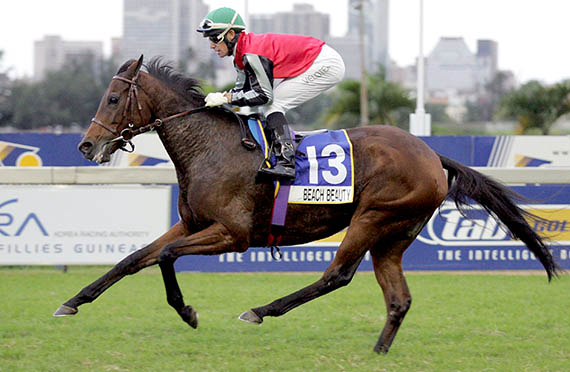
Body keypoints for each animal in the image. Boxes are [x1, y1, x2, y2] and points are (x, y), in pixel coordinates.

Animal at [53, 56, 560, 354]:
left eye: (113, 97)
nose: (85, 146)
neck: (209, 147)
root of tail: (432, 155)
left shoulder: (233, 234)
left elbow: (165, 257)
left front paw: (187, 312)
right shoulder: (193, 223)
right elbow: (134, 258)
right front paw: (72, 302)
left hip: (373, 217)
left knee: (336, 275)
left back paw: (261, 310)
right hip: (394, 235)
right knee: (398, 299)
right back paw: (377, 354)